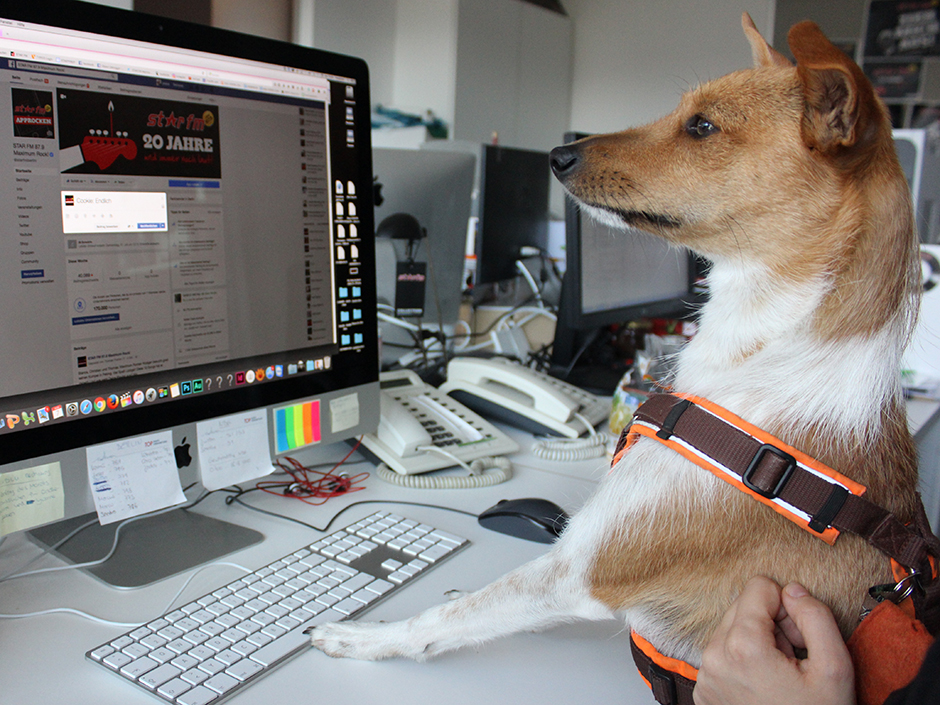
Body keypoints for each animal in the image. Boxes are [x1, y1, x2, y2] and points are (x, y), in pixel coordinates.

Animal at [306, 13, 916, 672]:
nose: (557, 155)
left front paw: (366, 636)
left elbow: (450, 614)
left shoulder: (582, 568)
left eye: (703, 126)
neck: (773, 349)